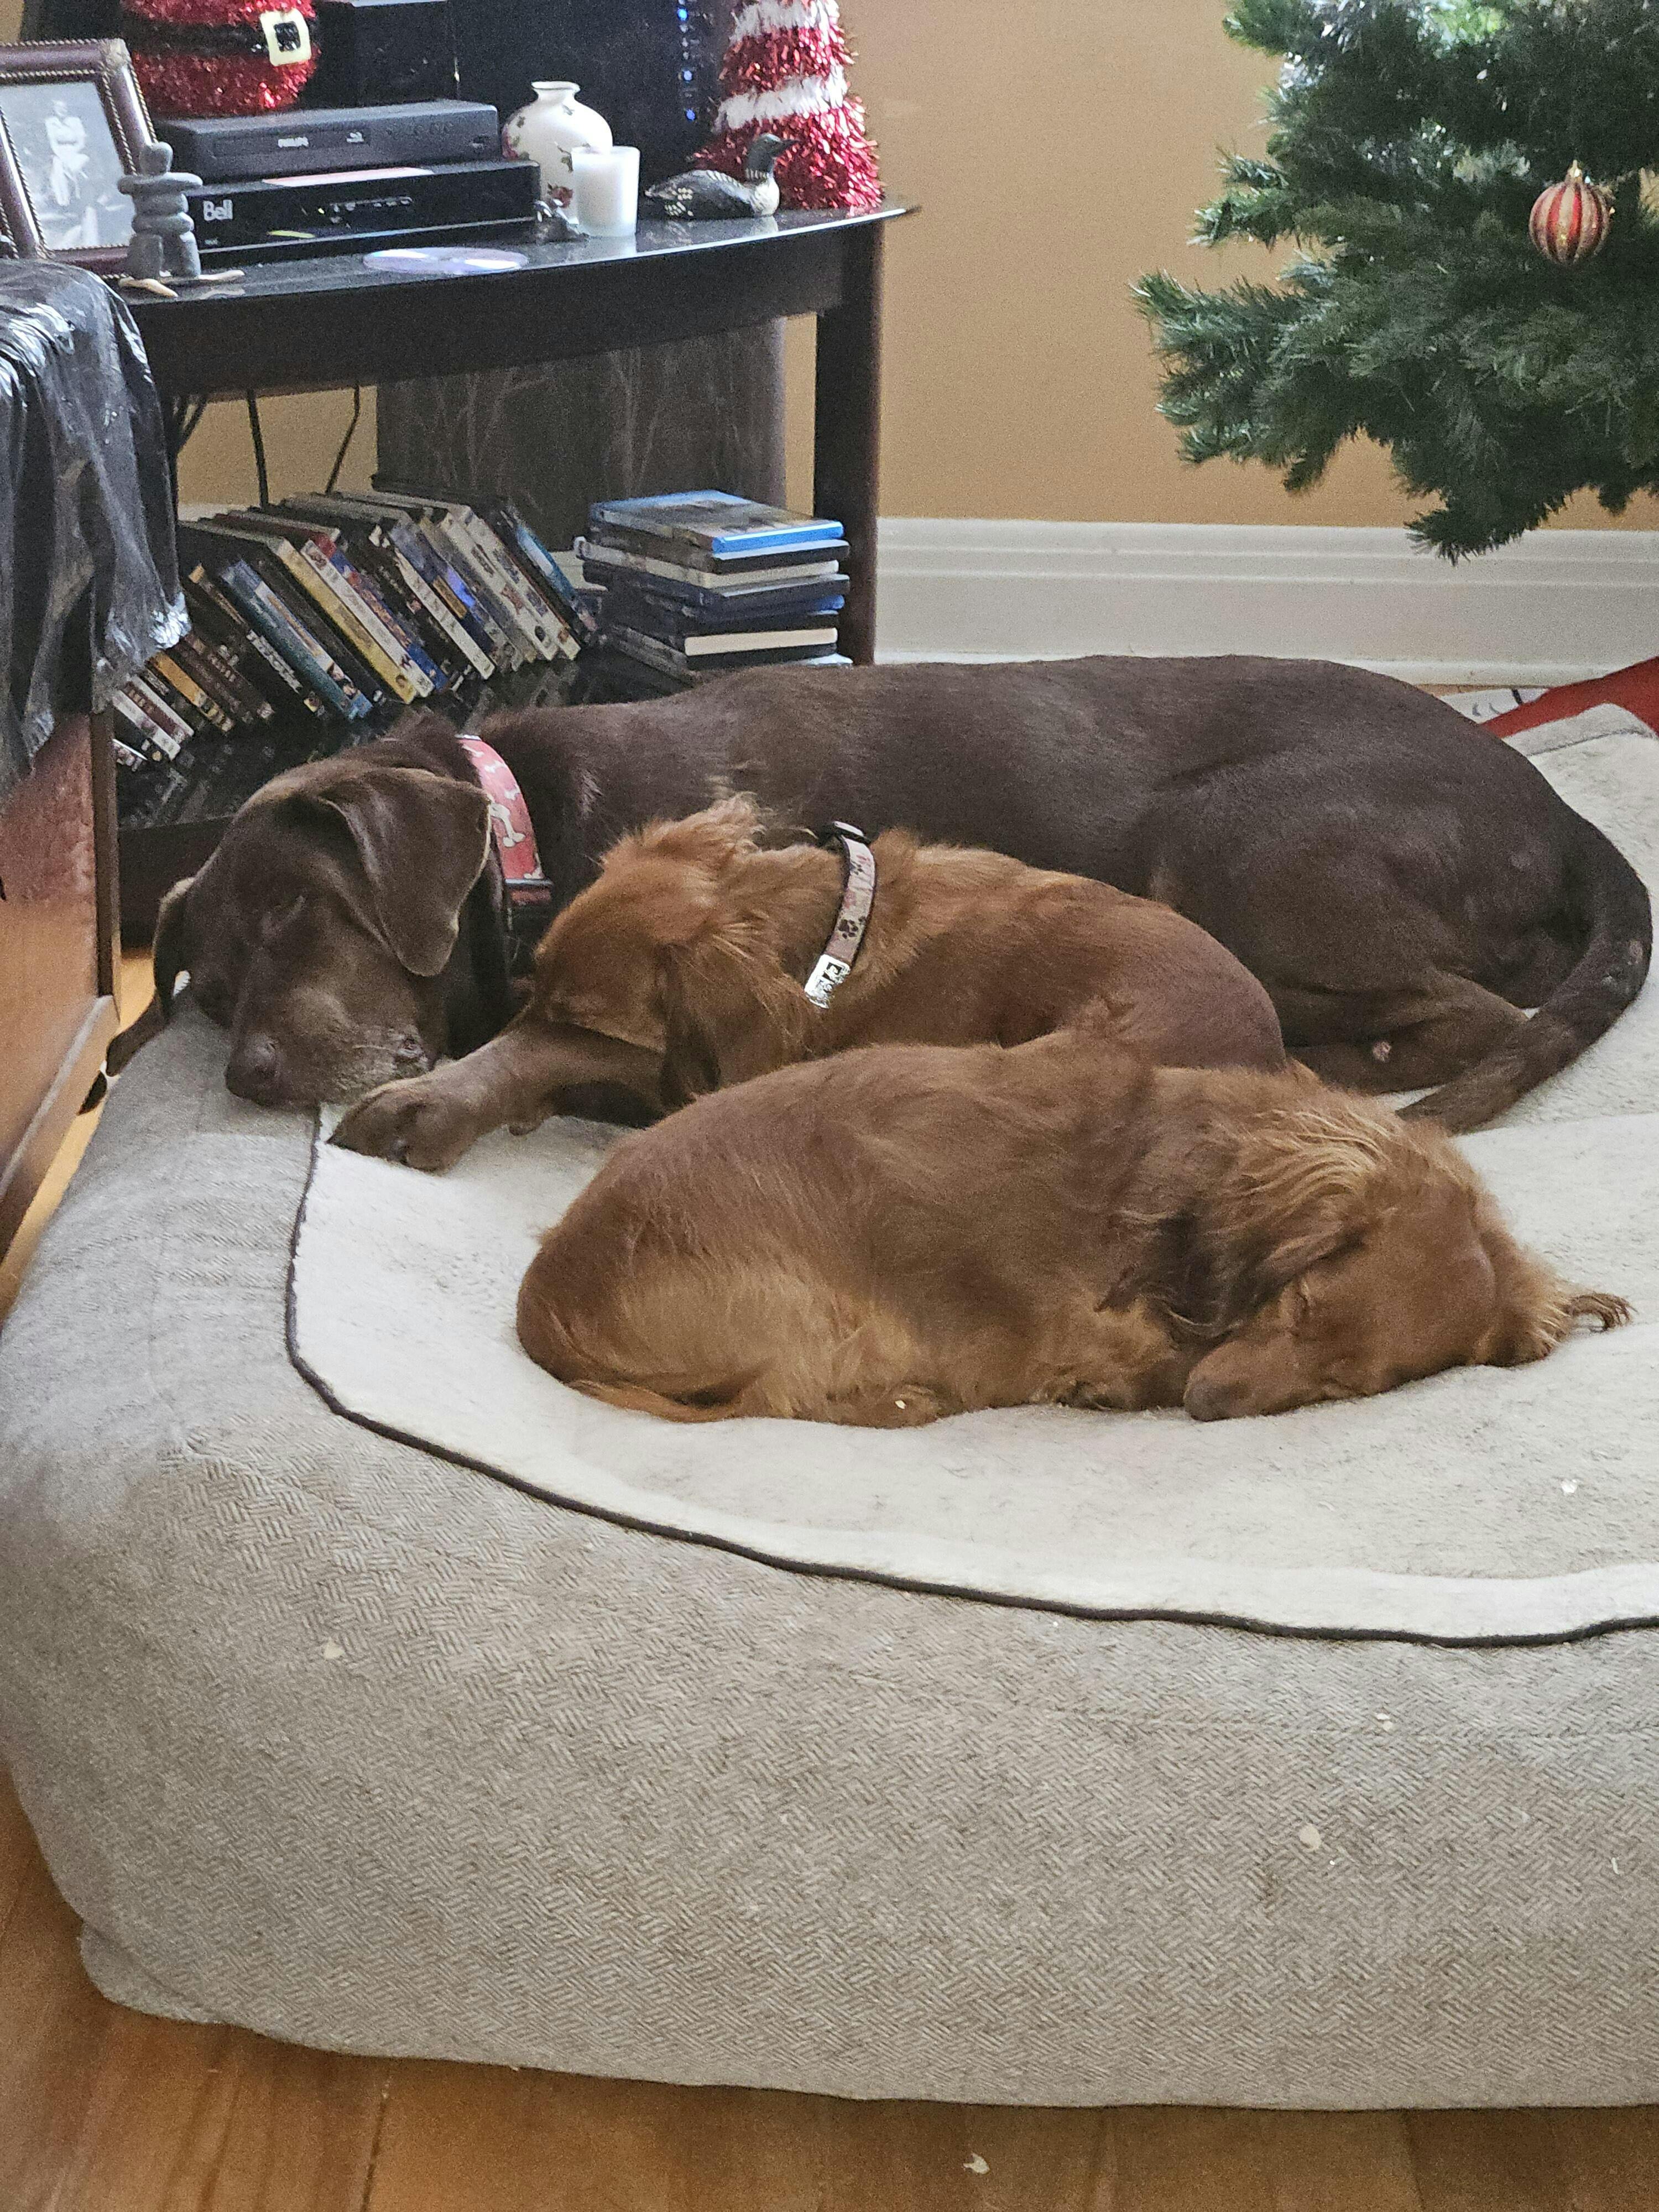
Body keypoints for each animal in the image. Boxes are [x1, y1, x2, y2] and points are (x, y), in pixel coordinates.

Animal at [108, 656, 1651, 1131]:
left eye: (298, 916)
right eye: (213, 990)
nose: (249, 1073)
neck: (524, 829)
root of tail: (1561, 812)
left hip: (1231, 842)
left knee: (1471, 1012)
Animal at [515, 1028, 1630, 1426]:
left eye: (1344, 1388)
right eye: (1300, 1304)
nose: (1211, 1406)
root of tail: (544, 1305)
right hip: (823, 1316)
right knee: (786, 1401)